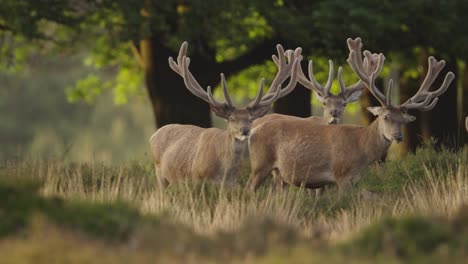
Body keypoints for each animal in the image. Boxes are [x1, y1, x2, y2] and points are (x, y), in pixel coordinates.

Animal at [151, 42, 304, 187]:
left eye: (250, 119)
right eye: (231, 118)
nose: (245, 130)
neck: (224, 173)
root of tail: (154, 135)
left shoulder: (230, 185)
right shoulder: (197, 179)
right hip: (160, 173)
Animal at [247, 37, 456, 192]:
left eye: (404, 120)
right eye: (385, 116)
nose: (398, 136)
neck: (361, 149)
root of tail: (253, 130)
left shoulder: (353, 180)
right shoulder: (341, 175)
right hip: (259, 164)